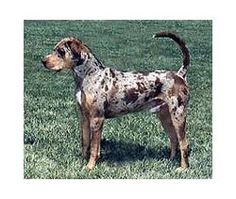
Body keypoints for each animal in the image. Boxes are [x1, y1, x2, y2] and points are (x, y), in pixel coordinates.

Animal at [42, 31, 190, 171]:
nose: (43, 61)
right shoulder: (84, 117)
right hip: (165, 116)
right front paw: (81, 161)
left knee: (184, 143)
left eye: (61, 51)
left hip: (178, 116)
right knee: (174, 139)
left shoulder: (96, 119)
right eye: (54, 49)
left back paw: (183, 168)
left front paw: (89, 167)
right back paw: (170, 160)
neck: (89, 75)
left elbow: (94, 147)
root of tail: (179, 75)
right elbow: (85, 142)